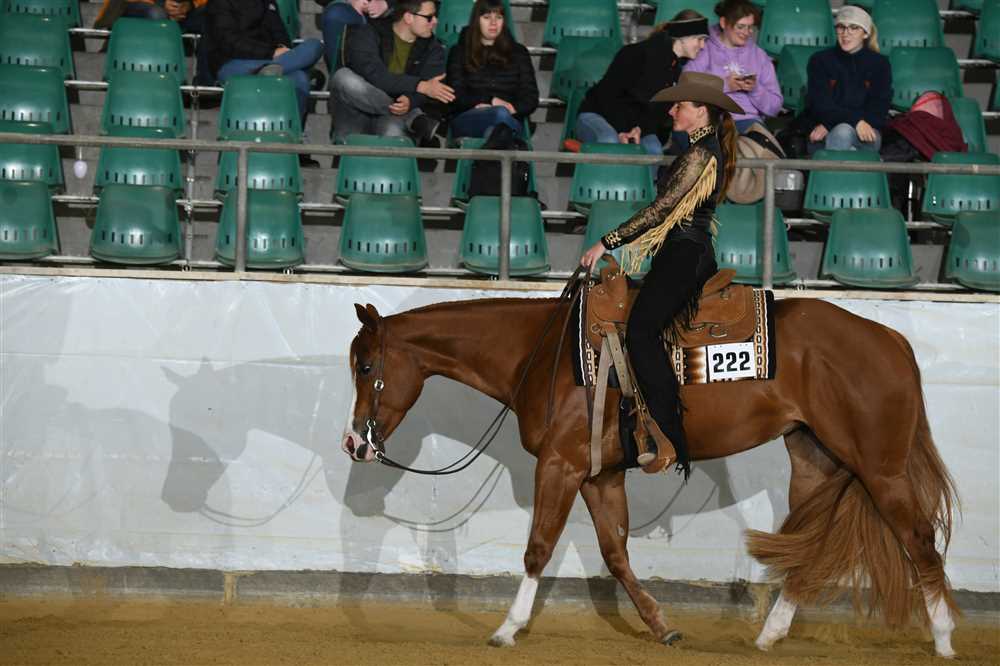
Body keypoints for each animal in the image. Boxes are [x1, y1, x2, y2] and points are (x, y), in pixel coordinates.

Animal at [341, 293, 960, 657]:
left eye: (366, 366)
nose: (354, 443)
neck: (541, 351)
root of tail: (891, 340)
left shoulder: (560, 465)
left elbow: (538, 548)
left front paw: (507, 628)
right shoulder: (598, 475)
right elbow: (616, 553)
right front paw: (662, 626)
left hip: (879, 467)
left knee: (919, 541)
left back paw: (945, 640)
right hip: (815, 459)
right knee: (808, 549)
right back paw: (768, 635)